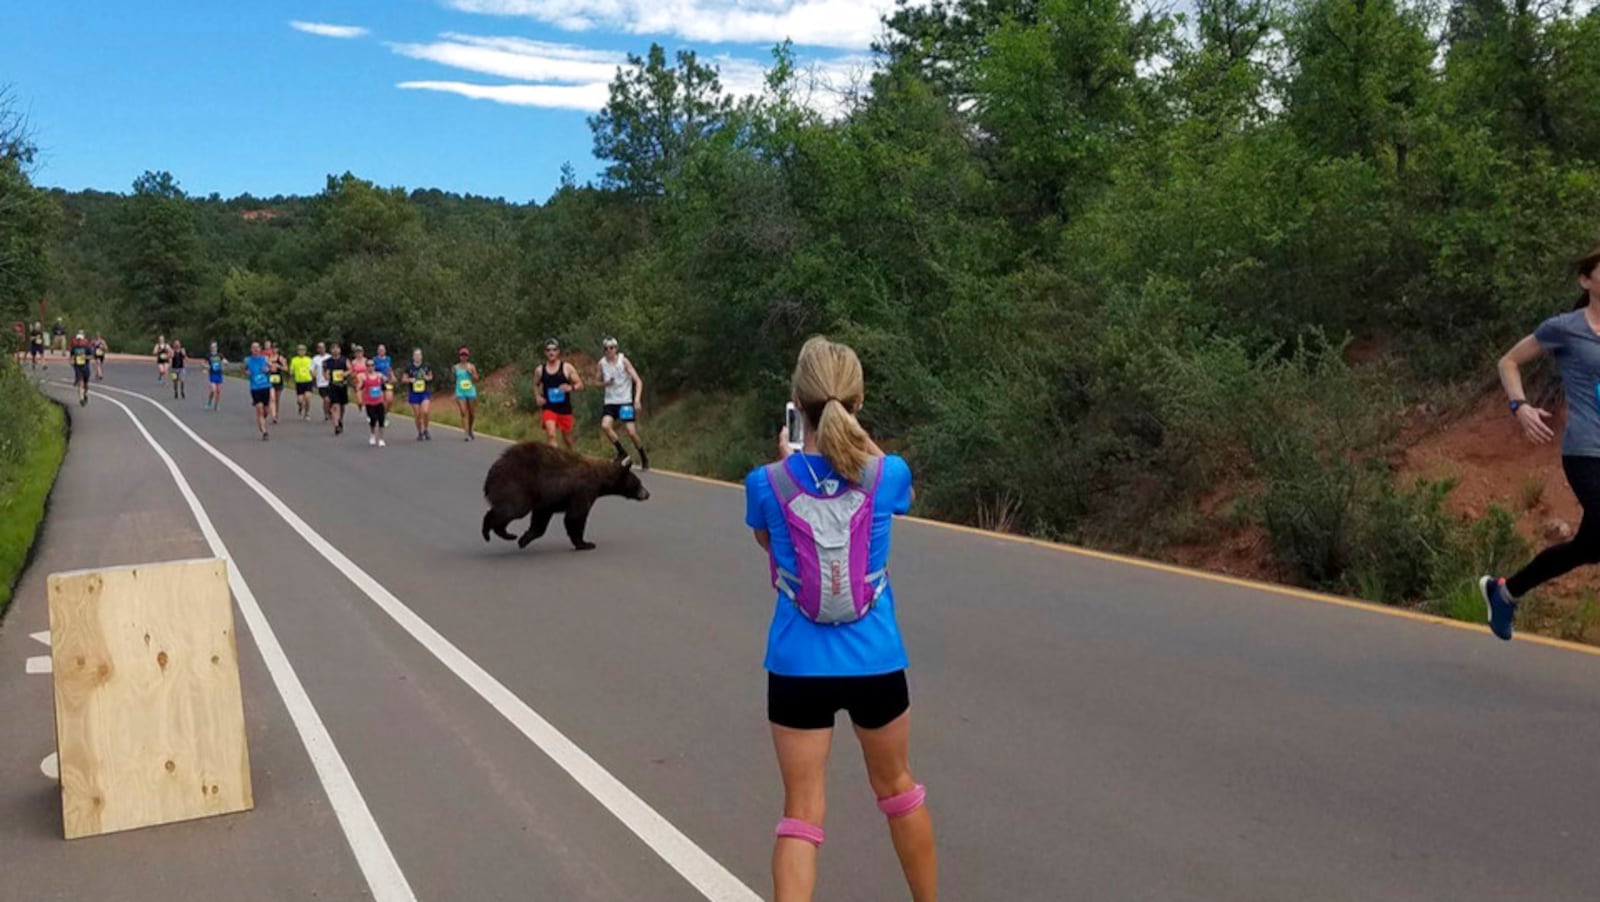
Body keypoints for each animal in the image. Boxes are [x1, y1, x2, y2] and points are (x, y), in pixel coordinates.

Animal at [480, 441, 649, 550]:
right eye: (639, 483)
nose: (647, 494)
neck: (601, 478)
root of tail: (491, 474)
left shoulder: (548, 499)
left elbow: (541, 518)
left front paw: (525, 538)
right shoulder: (584, 489)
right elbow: (576, 516)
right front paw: (585, 543)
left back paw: (506, 534)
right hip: (516, 485)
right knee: (513, 509)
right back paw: (494, 532)